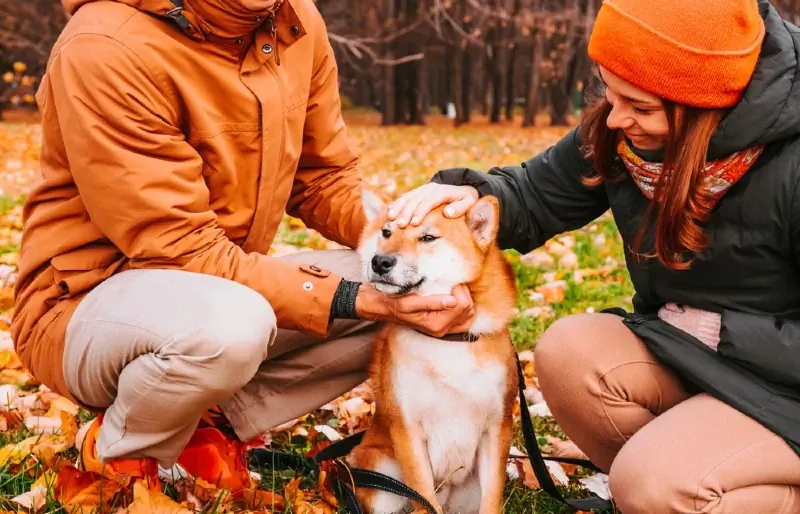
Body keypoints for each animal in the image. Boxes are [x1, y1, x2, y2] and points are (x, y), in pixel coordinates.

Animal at [350, 190, 520, 510]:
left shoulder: (497, 427)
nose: (380, 261)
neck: (446, 341)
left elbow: (492, 499)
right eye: (386, 232)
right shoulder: (407, 429)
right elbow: (424, 497)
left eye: (428, 238)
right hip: (383, 480)